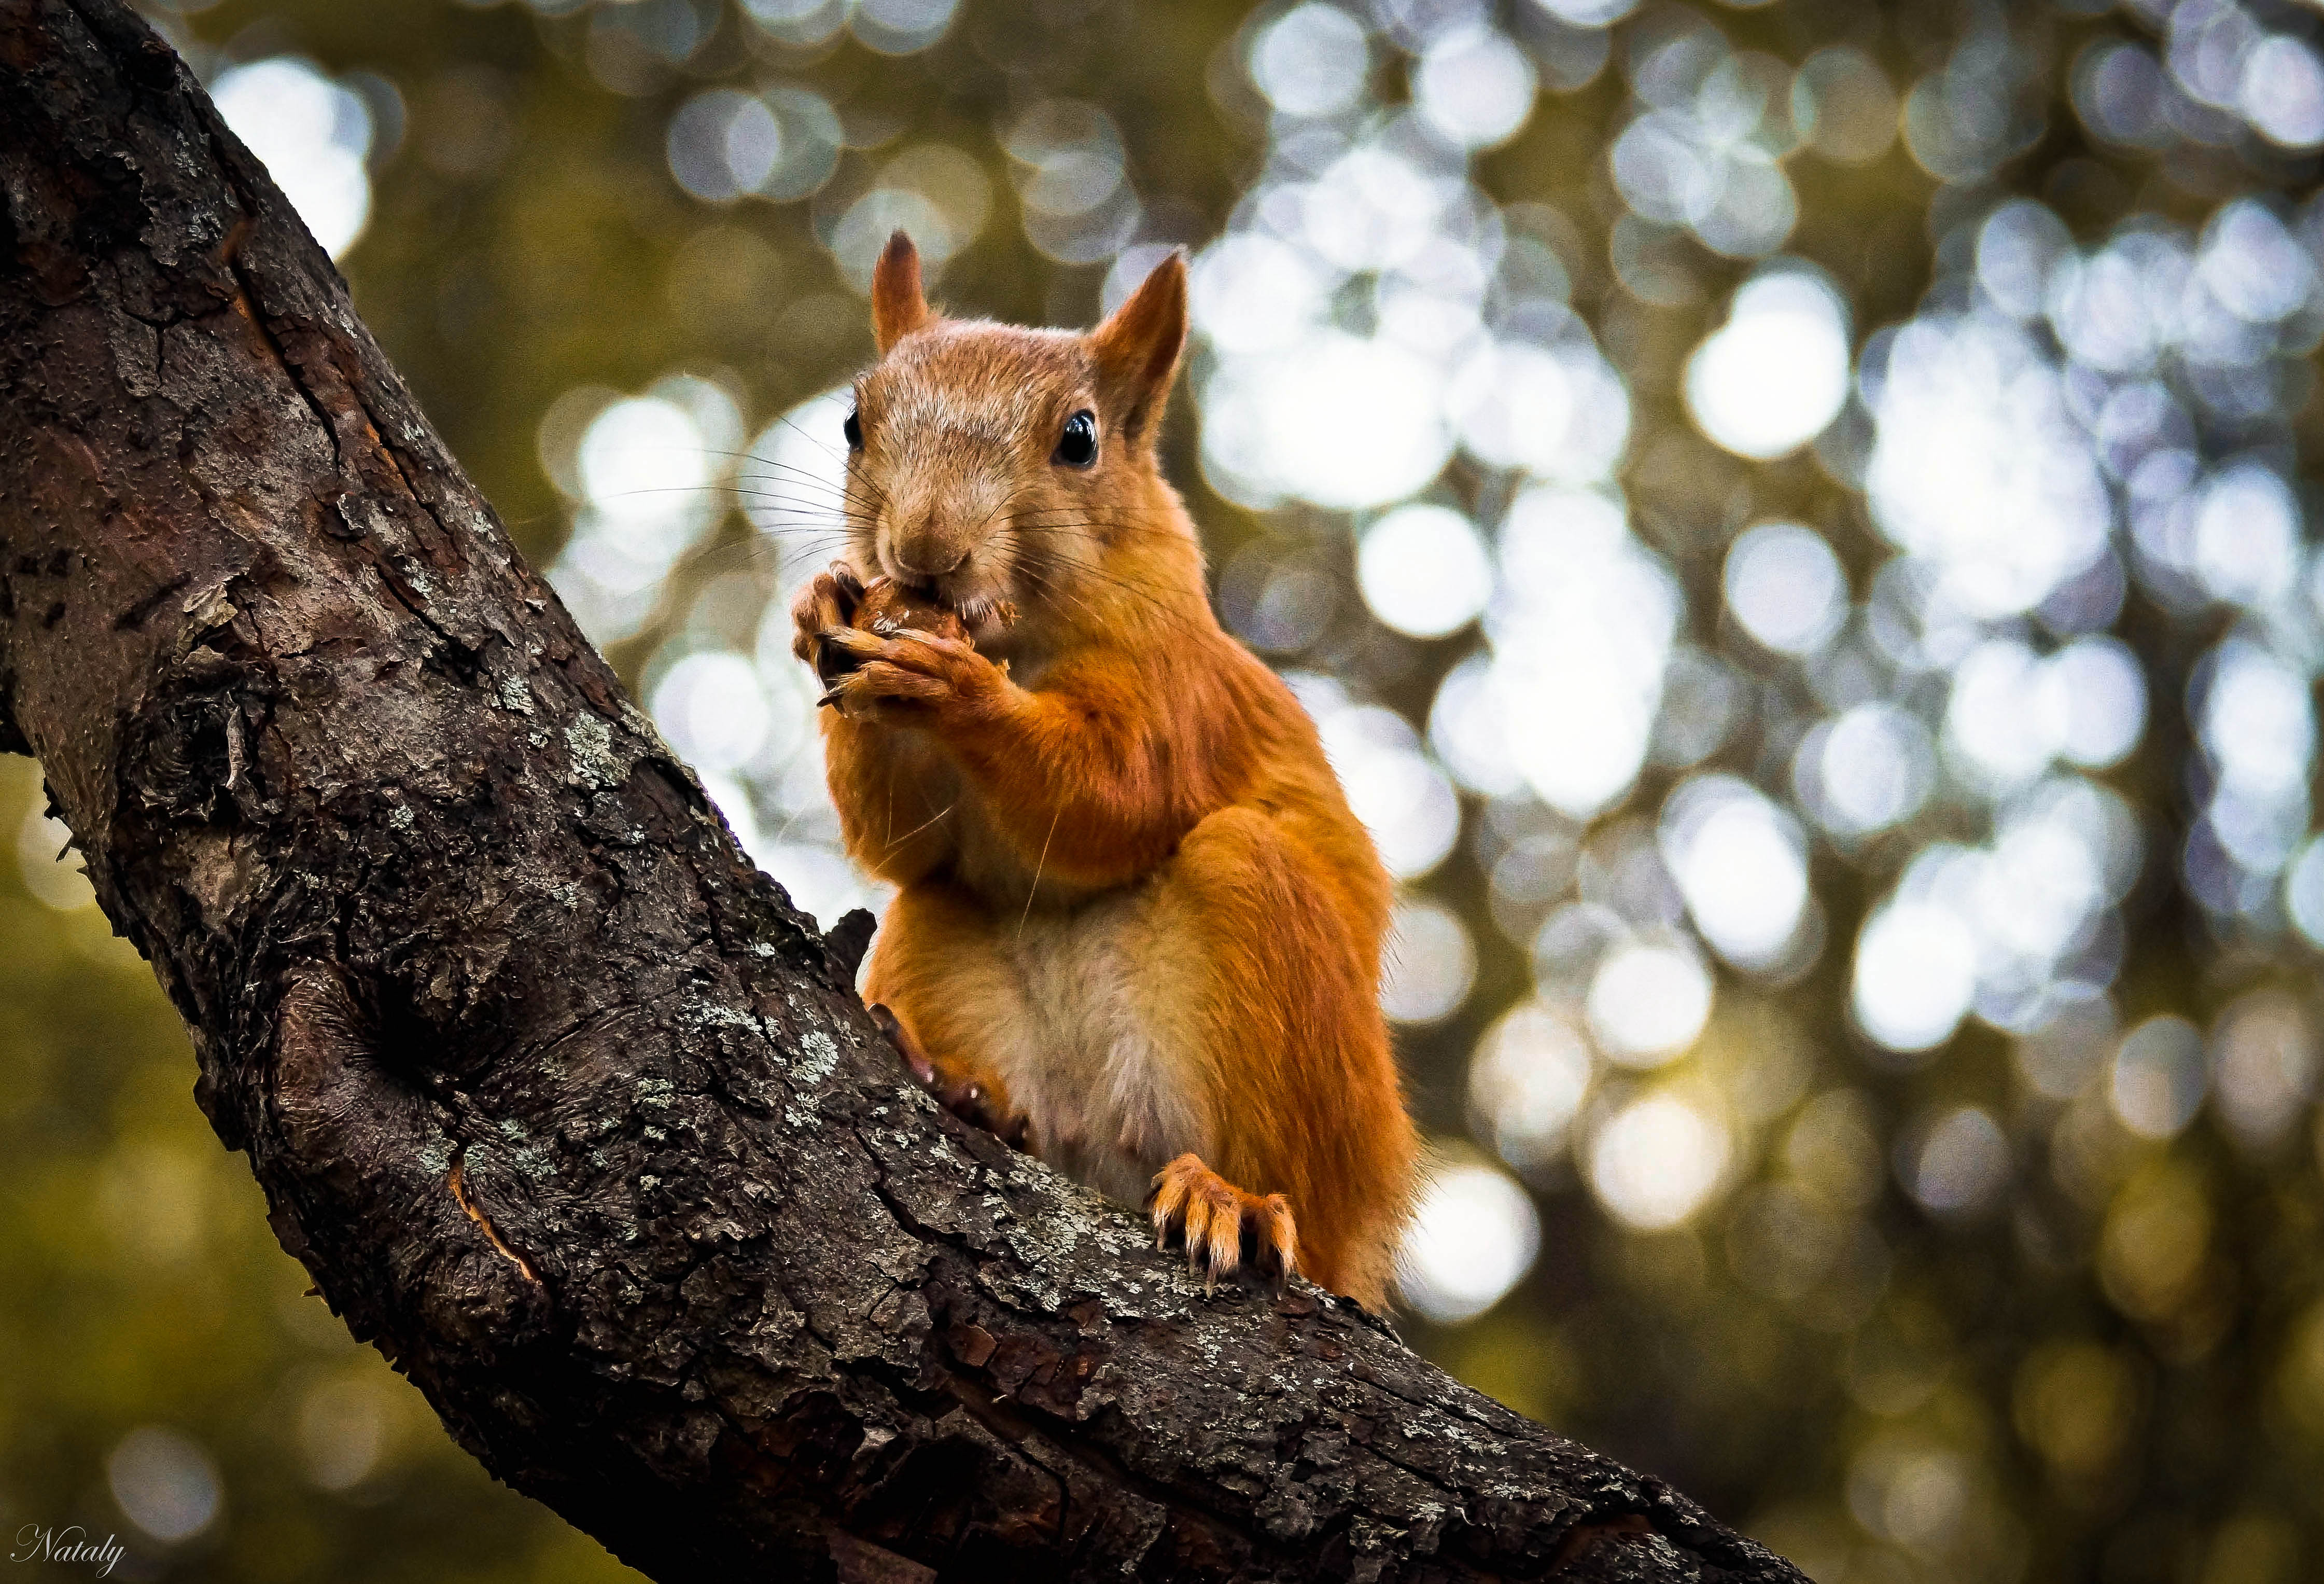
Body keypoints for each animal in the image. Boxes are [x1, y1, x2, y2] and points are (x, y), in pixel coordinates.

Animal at [794, 231, 1413, 1293]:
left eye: (1079, 438)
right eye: (852, 423)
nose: (925, 548)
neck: (1016, 636)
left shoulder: (1177, 688)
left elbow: (1111, 796)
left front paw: (961, 690)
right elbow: (900, 844)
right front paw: (818, 608)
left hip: (1287, 996)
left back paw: (1234, 1196)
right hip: (938, 939)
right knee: (933, 897)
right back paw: (956, 1087)